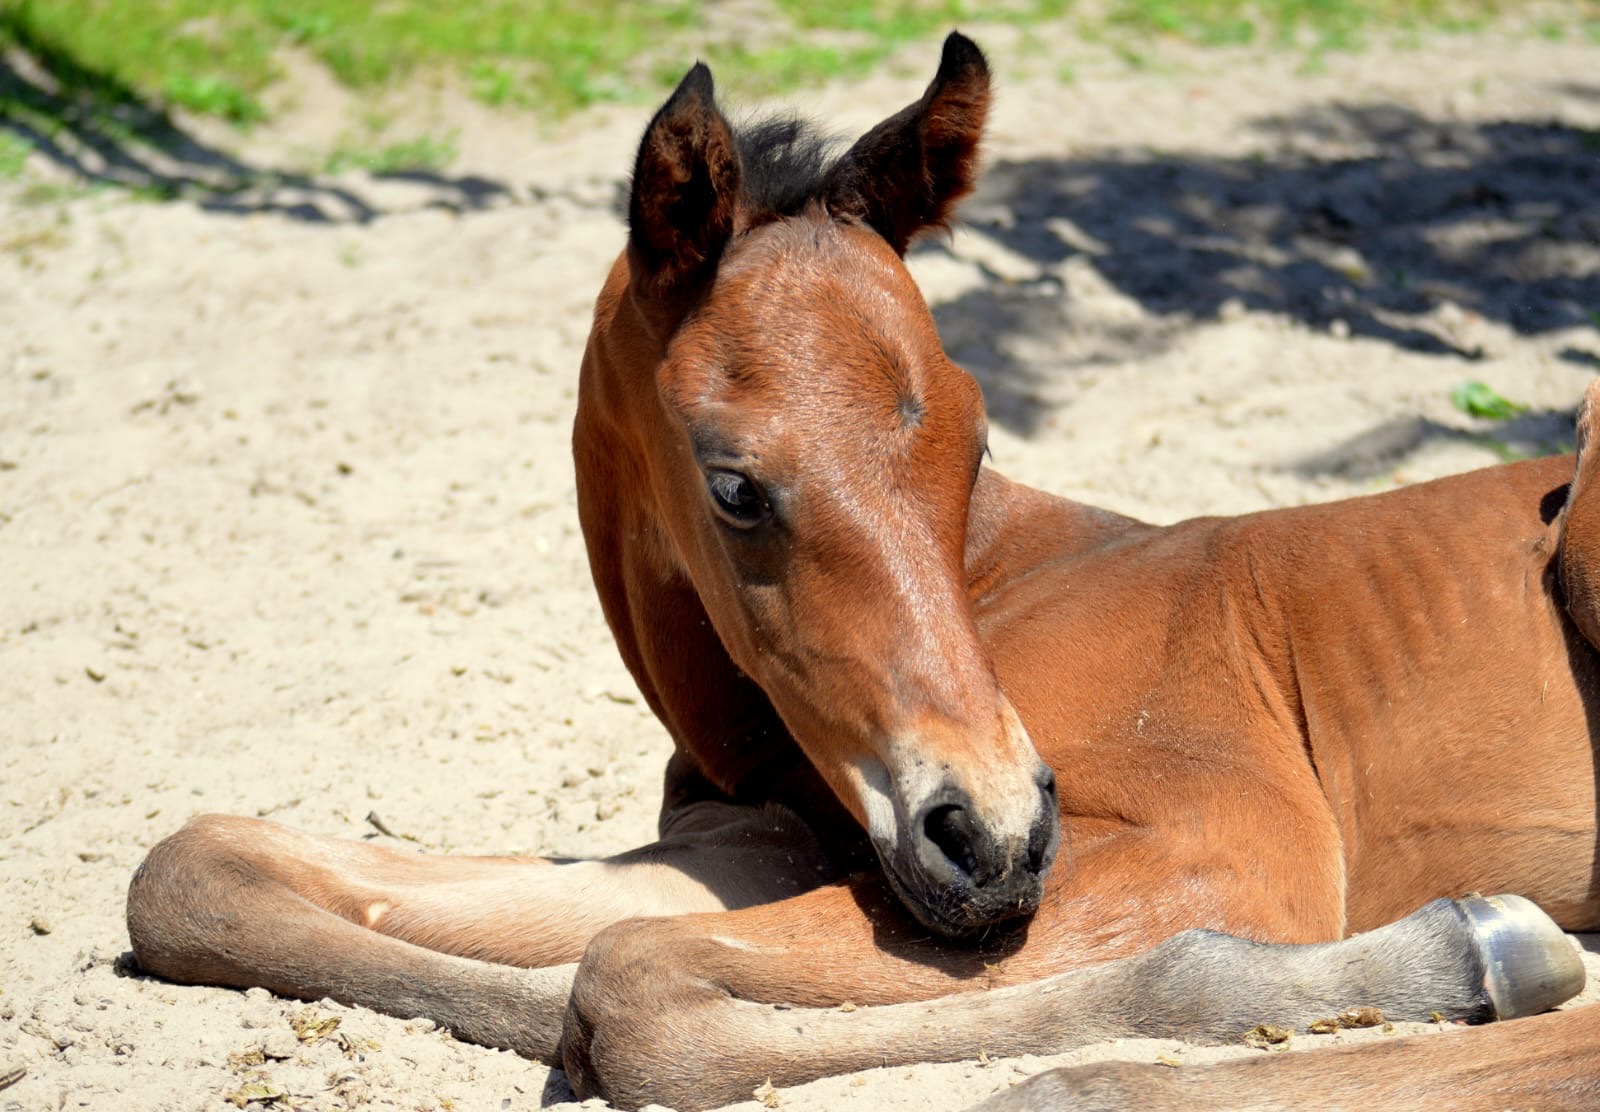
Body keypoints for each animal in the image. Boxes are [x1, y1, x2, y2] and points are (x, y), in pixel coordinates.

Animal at [128, 34, 1600, 1112]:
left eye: (977, 435)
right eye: (734, 486)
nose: (992, 833)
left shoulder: (1226, 840)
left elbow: (635, 987)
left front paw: (1431, 953)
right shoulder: (759, 843)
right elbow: (203, 867)